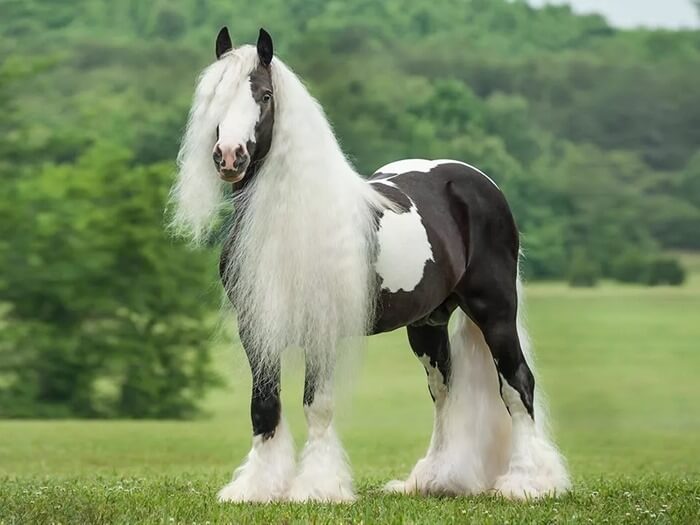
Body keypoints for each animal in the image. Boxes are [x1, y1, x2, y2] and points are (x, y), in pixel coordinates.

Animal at [170, 27, 570, 503]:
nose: (229, 156)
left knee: (516, 384)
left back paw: (528, 482)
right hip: (427, 323)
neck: (286, 220)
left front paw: (317, 487)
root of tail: (475, 181)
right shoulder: (256, 328)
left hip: (495, 312)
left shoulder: (320, 328)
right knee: (444, 391)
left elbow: (317, 405)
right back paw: (435, 479)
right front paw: (257, 488)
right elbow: (264, 406)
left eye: (264, 95)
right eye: (215, 95)